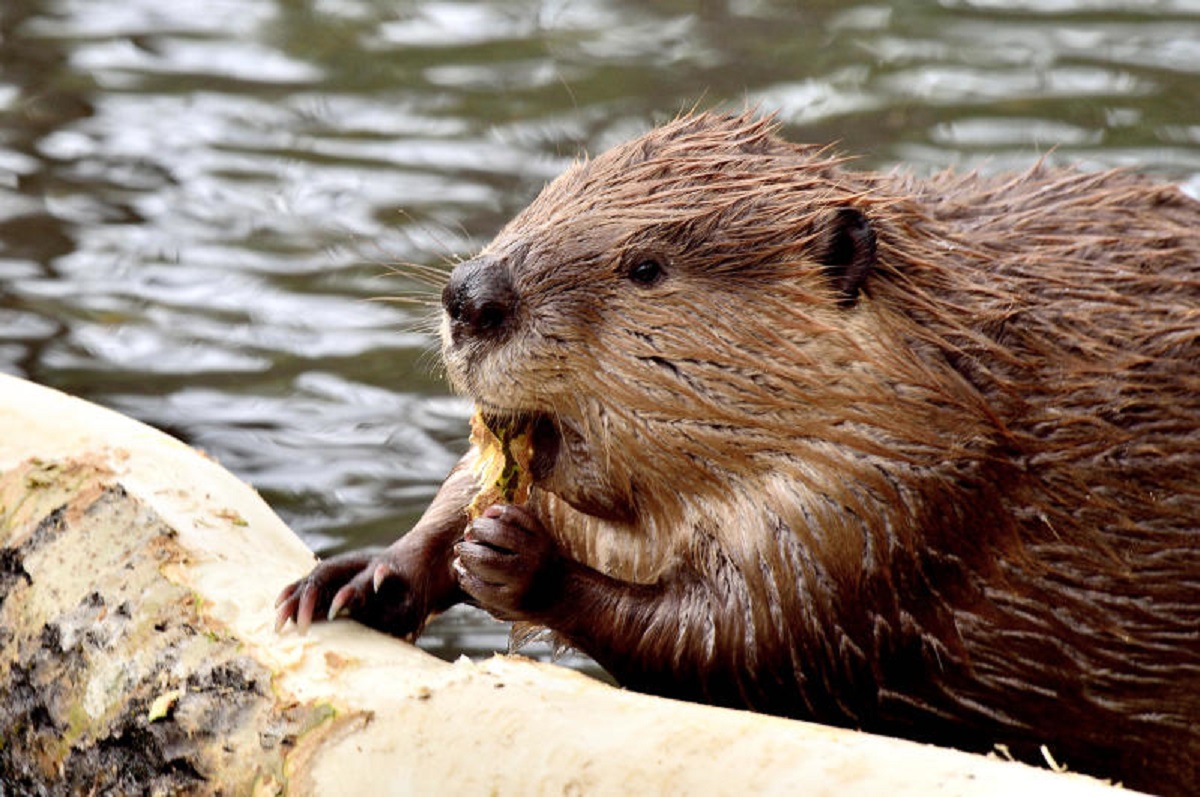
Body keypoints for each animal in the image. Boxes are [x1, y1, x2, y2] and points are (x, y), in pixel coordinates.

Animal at [278, 109, 1200, 792]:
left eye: (647, 267)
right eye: (545, 199)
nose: (472, 297)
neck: (954, 368)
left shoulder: (872, 503)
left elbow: (735, 638)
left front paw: (516, 557)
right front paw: (354, 576)